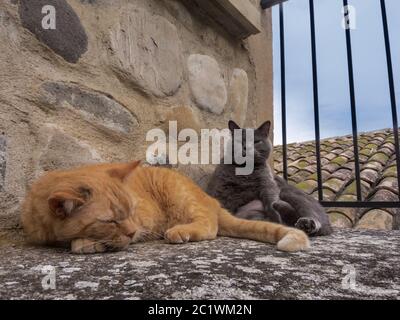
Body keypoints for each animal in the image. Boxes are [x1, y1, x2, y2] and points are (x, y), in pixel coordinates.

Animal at [21, 161, 310, 254]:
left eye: (131, 211)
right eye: (110, 221)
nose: (132, 231)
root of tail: (212, 200)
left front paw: (85, 243)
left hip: (180, 196)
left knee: (209, 226)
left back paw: (180, 231)